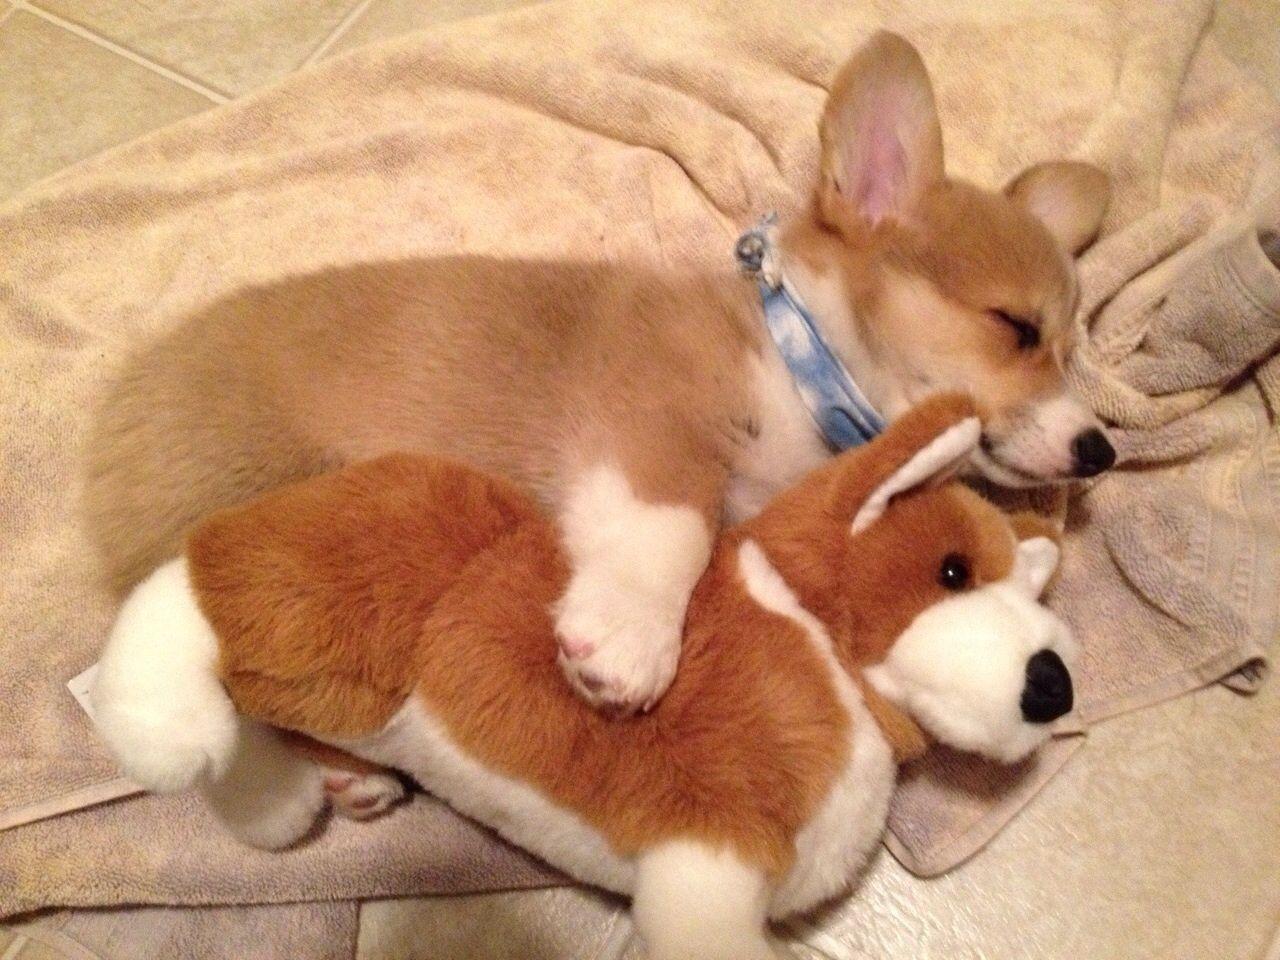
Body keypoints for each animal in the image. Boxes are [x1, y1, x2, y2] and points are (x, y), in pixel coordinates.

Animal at [85, 28, 1116, 727]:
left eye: (1071, 346)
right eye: (1016, 328)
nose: (1101, 449)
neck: (799, 357)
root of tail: (121, 397)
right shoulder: (650, 429)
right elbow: (671, 531)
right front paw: (628, 644)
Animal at [85, 396, 1075, 960]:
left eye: (1027, 590)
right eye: (952, 571)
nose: (1056, 684)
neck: (822, 645)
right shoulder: (709, 854)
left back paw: (307, 791)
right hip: (328, 618)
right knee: (189, 590)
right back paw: (179, 735)